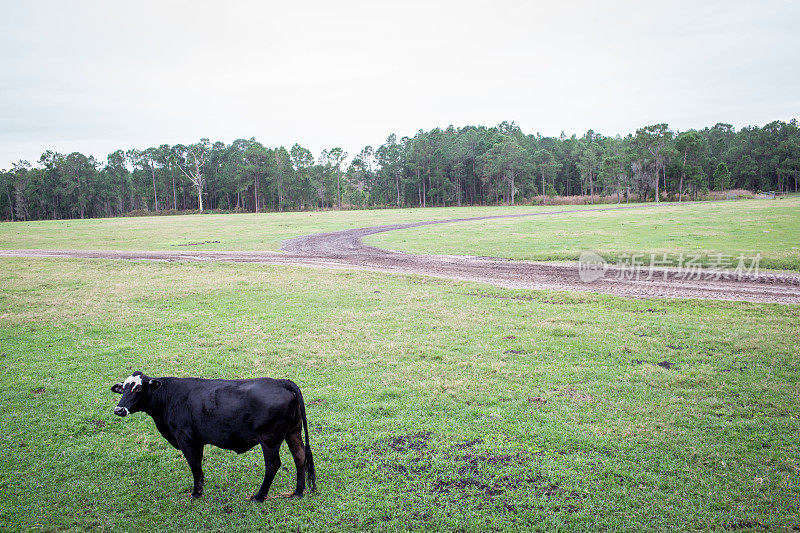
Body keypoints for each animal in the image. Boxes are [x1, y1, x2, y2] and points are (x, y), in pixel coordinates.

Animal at [110, 370, 316, 498]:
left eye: (138, 388)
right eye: (124, 388)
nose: (119, 409)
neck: (170, 397)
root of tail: (281, 382)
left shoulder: (187, 439)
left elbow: (194, 465)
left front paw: (196, 492)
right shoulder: (197, 440)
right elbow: (198, 466)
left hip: (270, 439)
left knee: (273, 464)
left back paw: (259, 496)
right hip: (293, 431)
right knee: (300, 456)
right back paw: (298, 492)